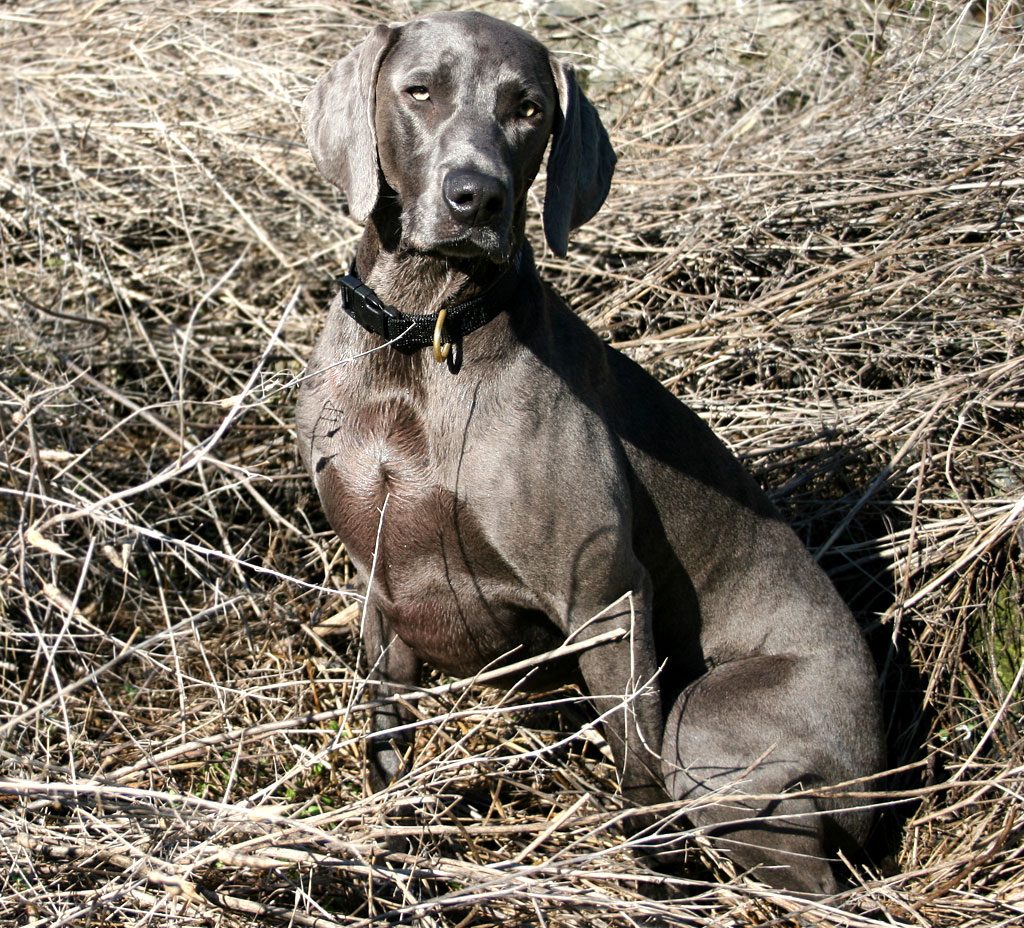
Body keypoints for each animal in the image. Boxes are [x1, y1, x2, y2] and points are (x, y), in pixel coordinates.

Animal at [294, 7, 880, 889]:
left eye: (529, 108)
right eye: (419, 91)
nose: (477, 196)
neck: (423, 335)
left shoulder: (607, 598)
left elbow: (636, 778)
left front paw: (650, 884)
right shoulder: (381, 589)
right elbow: (386, 740)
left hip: (711, 724)